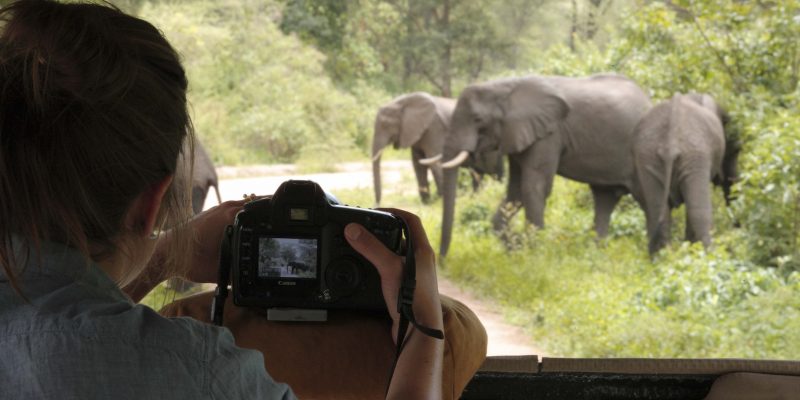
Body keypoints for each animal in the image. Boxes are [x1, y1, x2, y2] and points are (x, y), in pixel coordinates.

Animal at [372, 92, 504, 205]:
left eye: (385, 125)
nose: (377, 204)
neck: (402, 101)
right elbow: (418, 165)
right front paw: (427, 203)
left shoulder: (434, 128)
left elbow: (434, 161)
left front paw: (440, 200)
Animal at [434, 74, 652, 256]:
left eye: (478, 119)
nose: (442, 259)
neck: (505, 86)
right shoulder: (519, 135)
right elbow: (515, 192)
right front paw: (515, 250)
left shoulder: (549, 134)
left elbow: (534, 187)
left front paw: (533, 256)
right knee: (604, 199)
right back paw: (595, 255)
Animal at [632, 93, 744, 255]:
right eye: (736, 151)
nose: (738, 228)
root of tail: (670, 143)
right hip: (694, 155)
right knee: (699, 212)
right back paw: (707, 254)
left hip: (648, 157)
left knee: (658, 212)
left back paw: (664, 257)